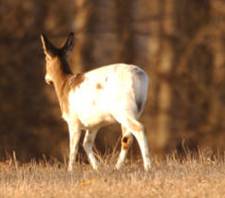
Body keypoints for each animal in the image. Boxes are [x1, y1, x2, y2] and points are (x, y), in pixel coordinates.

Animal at [40, 32, 151, 172]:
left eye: (45, 58)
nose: (46, 79)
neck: (65, 85)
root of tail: (140, 77)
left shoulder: (73, 121)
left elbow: (73, 148)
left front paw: (70, 171)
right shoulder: (94, 124)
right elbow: (86, 143)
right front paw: (97, 168)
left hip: (124, 110)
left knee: (139, 129)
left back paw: (148, 167)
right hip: (135, 111)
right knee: (126, 138)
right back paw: (117, 168)